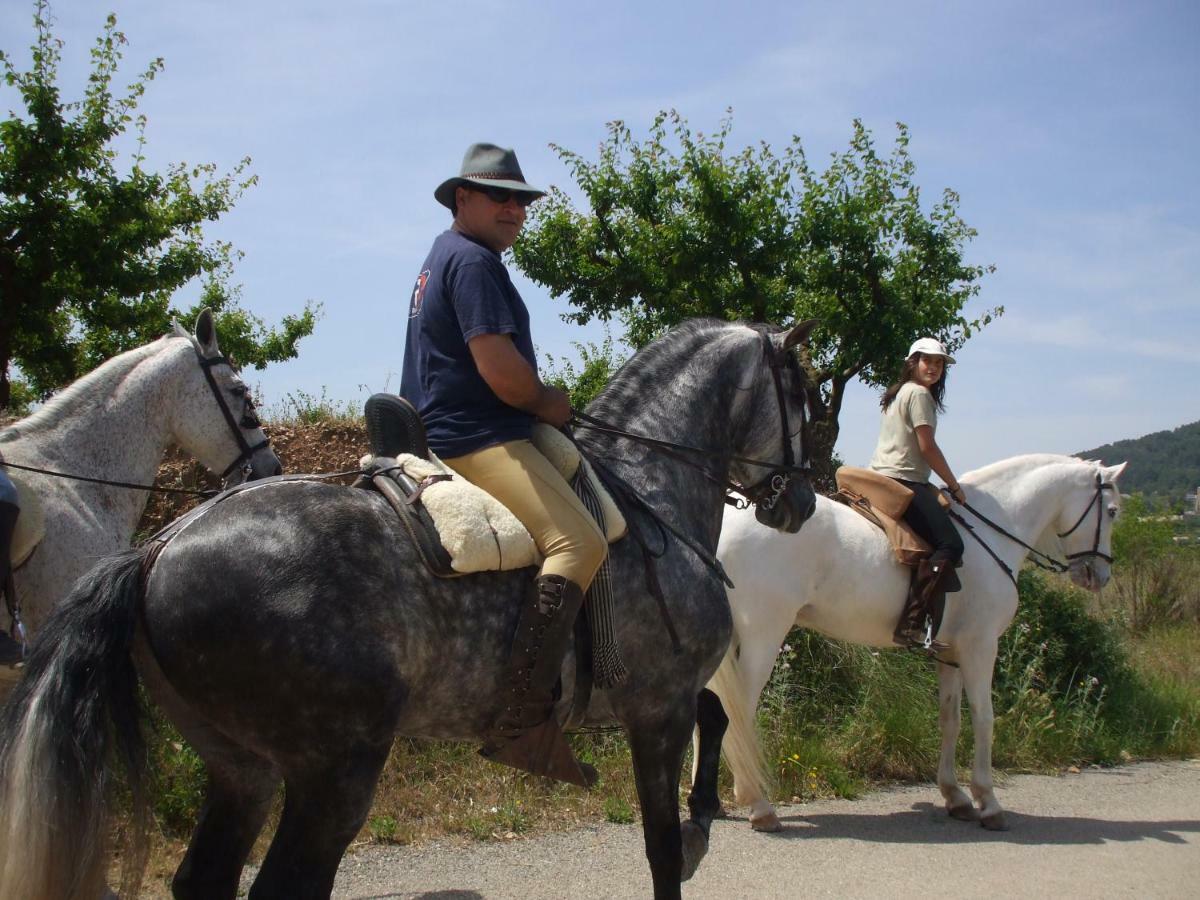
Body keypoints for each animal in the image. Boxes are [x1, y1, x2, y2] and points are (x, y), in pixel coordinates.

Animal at [700, 453, 1123, 835]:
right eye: (1114, 511)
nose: (1099, 575)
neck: (992, 530)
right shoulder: (980, 647)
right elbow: (984, 718)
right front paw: (988, 802)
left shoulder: (949, 654)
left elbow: (950, 719)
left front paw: (955, 796)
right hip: (763, 636)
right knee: (739, 712)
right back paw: (758, 805)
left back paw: (713, 804)